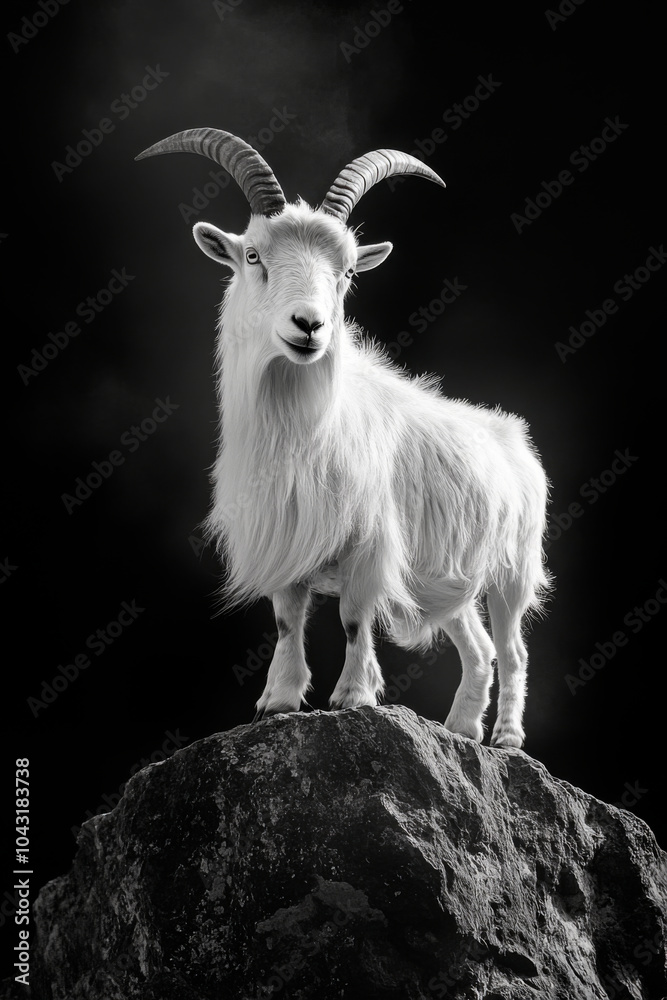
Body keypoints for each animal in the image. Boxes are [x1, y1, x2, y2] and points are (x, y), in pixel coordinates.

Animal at [136, 128, 551, 747]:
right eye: (254, 256)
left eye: (349, 272)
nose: (309, 325)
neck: (300, 432)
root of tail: (513, 436)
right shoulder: (286, 535)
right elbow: (287, 621)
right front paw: (277, 702)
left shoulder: (369, 544)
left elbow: (354, 621)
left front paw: (353, 696)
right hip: (447, 579)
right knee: (478, 649)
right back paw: (460, 729)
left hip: (512, 569)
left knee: (514, 648)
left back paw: (505, 737)